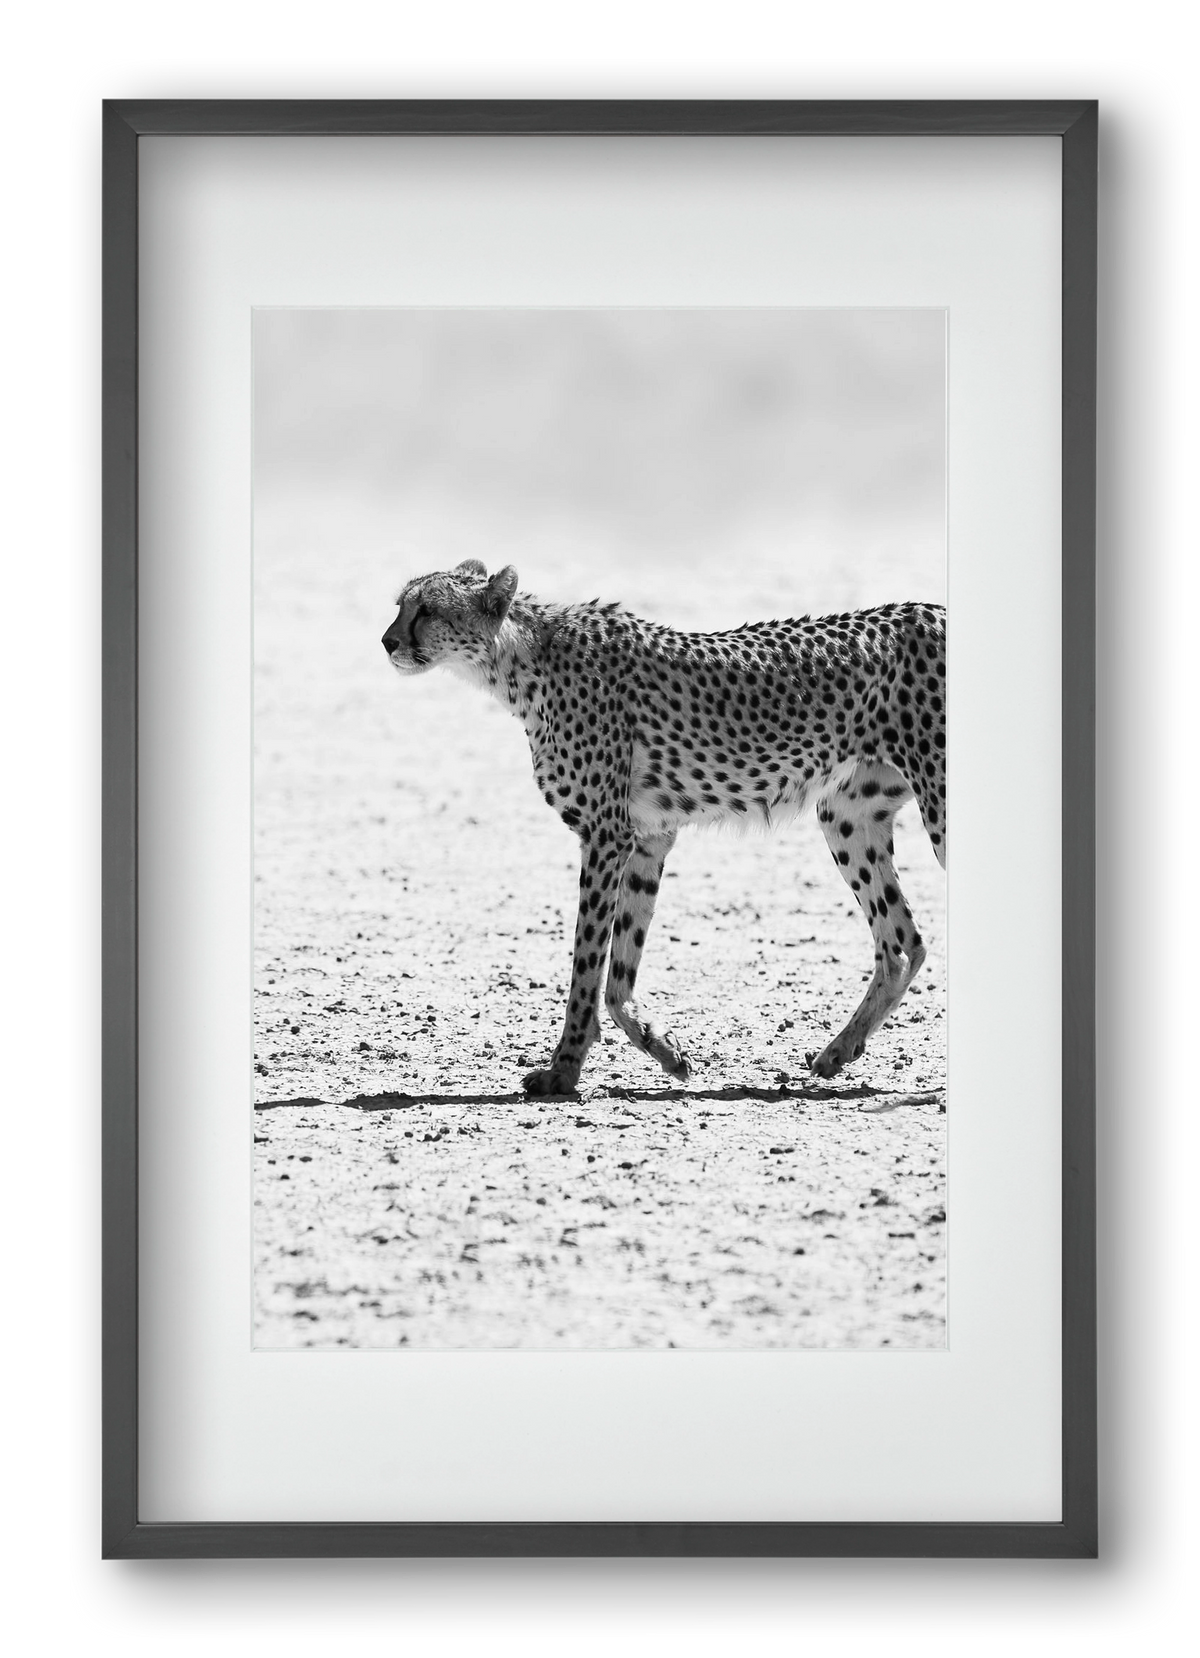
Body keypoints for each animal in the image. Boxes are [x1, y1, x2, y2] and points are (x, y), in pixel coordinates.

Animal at [383, 559, 946, 1097]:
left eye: (427, 609)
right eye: (400, 605)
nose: (387, 641)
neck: (519, 660)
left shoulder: (606, 835)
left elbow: (587, 964)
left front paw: (563, 1071)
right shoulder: (648, 838)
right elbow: (618, 972)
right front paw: (666, 1051)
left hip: (936, 805)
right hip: (847, 816)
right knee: (902, 943)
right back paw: (838, 1052)